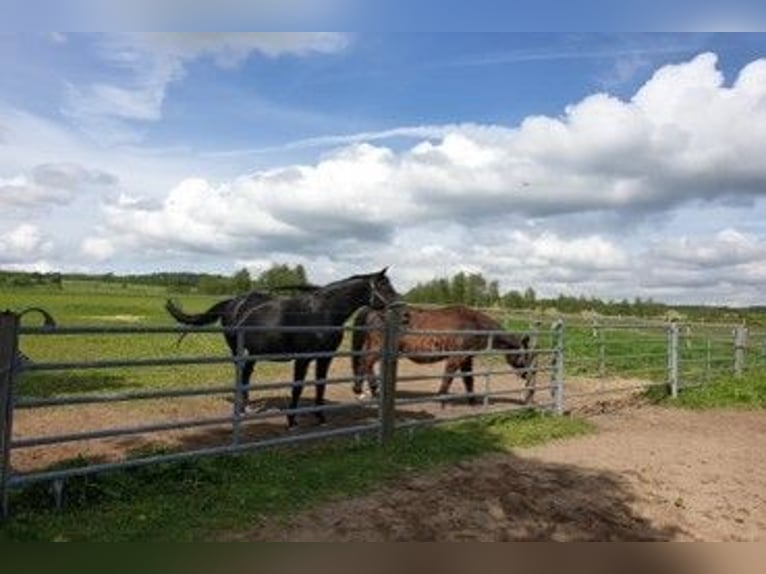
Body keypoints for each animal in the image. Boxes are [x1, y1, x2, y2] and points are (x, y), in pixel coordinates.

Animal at [165, 270, 400, 428]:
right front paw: (291, 420)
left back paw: (247, 407)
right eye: (384, 287)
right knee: (240, 375)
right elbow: (297, 387)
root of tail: (233, 303)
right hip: (237, 350)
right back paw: (241, 409)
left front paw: (321, 417)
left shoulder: (325, 358)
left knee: (246, 375)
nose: (401, 308)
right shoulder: (302, 359)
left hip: (253, 353)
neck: (321, 313)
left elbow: (320, 385)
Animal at [352, 306, 536, 404]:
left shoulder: (466, 359)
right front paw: (441, 397)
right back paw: (374, 391)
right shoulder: (456, 358)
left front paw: (472, 401)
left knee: (362, 364)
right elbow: (448, 378)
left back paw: (360, 390)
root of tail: (371, 310)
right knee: (366, 363)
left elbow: (469, 379)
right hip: (376, 348)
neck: (474, 323)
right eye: (525, 357)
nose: (527, 375)